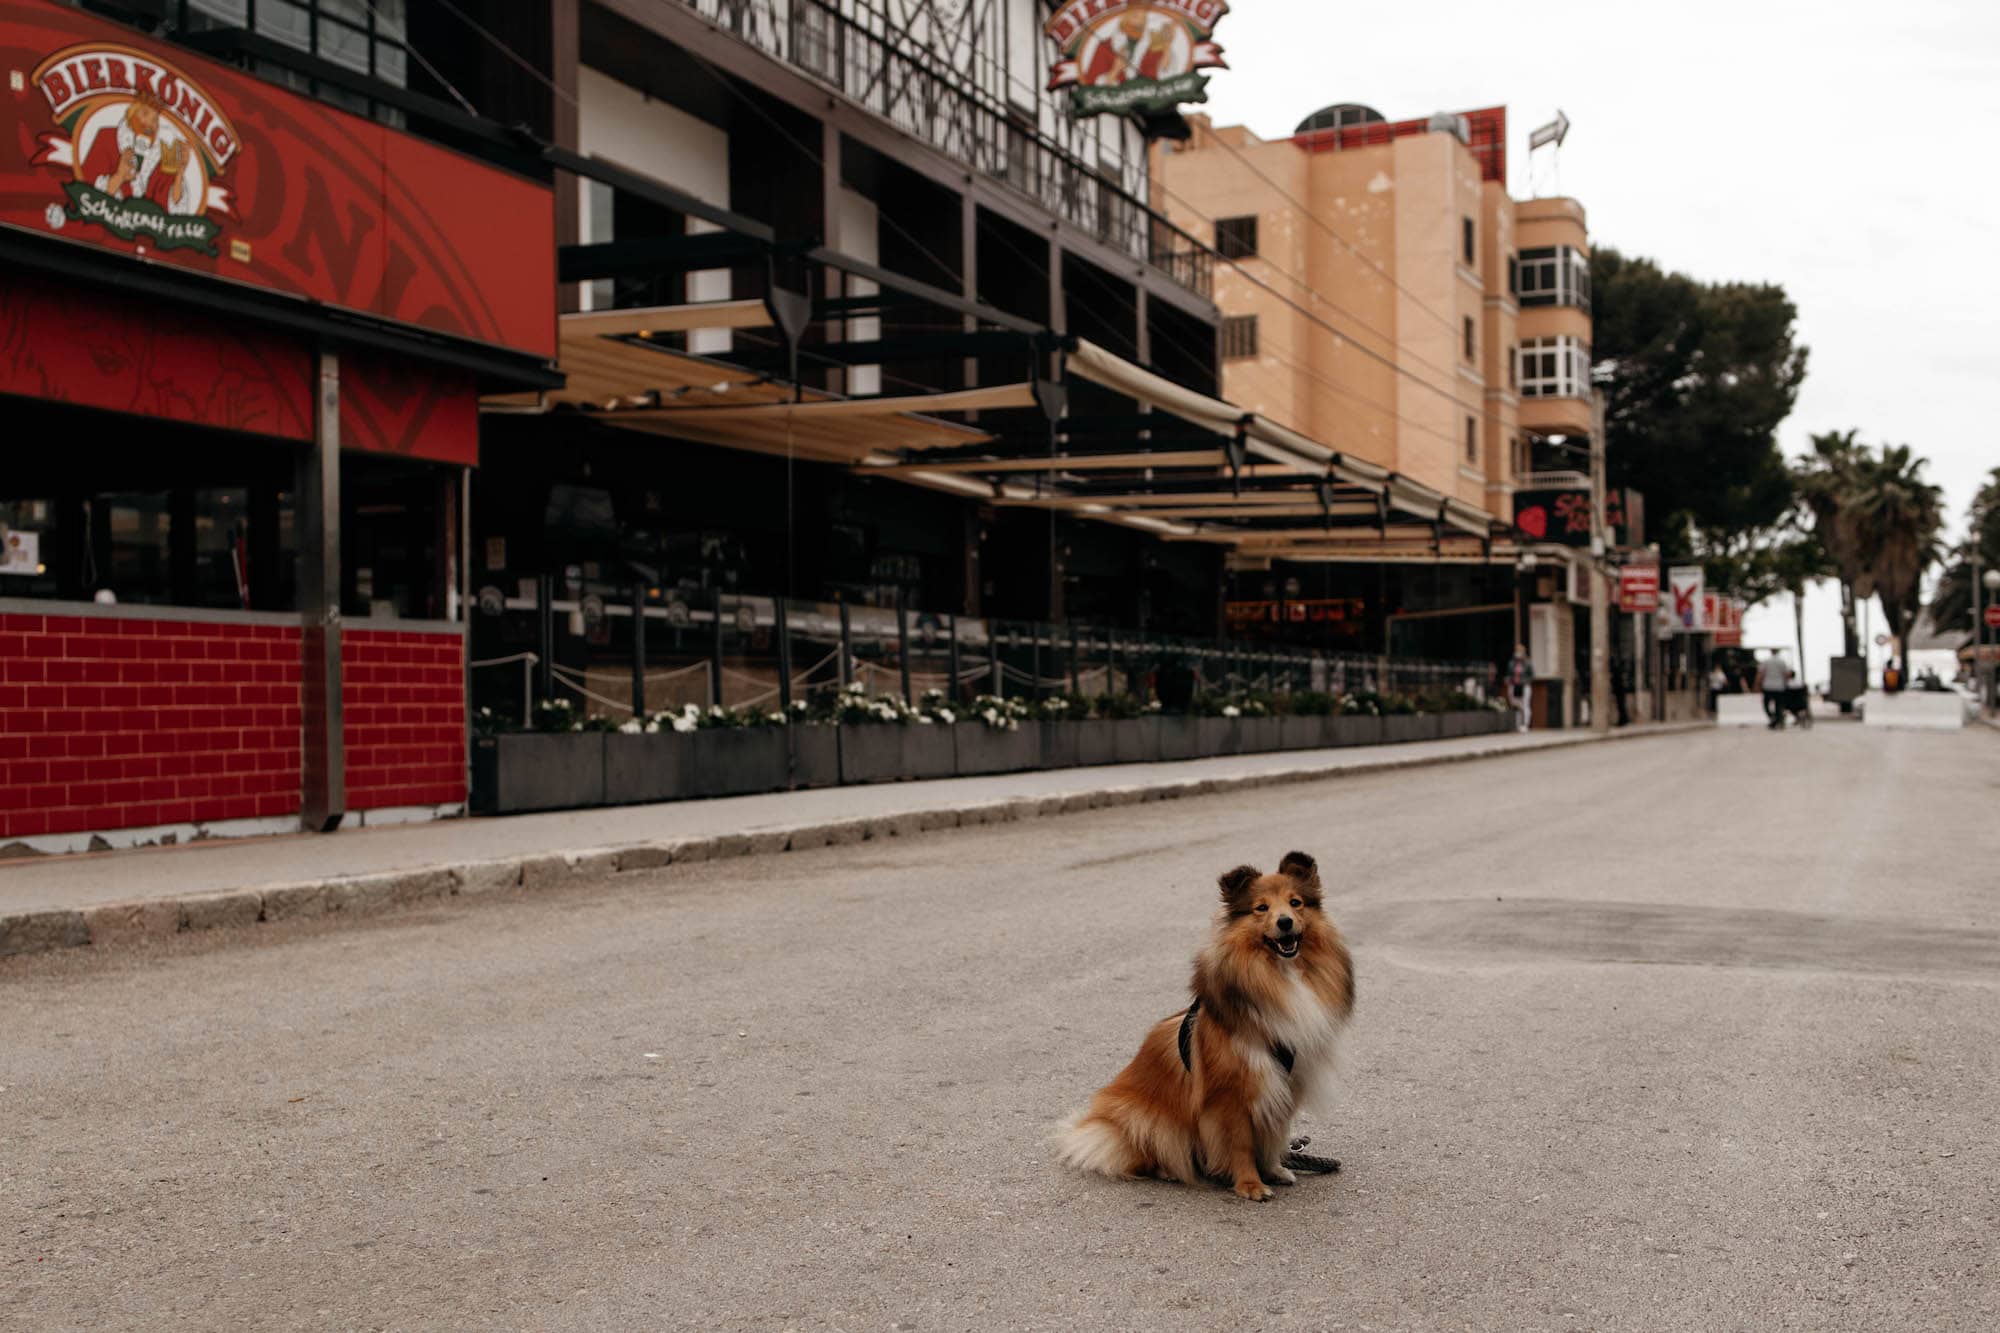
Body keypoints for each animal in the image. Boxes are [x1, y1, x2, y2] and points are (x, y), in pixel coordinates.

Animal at [1048, 844, 1360, 1200]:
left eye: (1295, 903)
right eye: (1261, 908)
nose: (1285, 922)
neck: (1279, 975)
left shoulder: (1284, 1084)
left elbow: (1273, 1135)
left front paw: (1274, 1169)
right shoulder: (1230, 1094)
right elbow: (1241, 1144)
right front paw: (1251, 1185)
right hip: (1144, 1119)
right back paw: (1169, 1170)